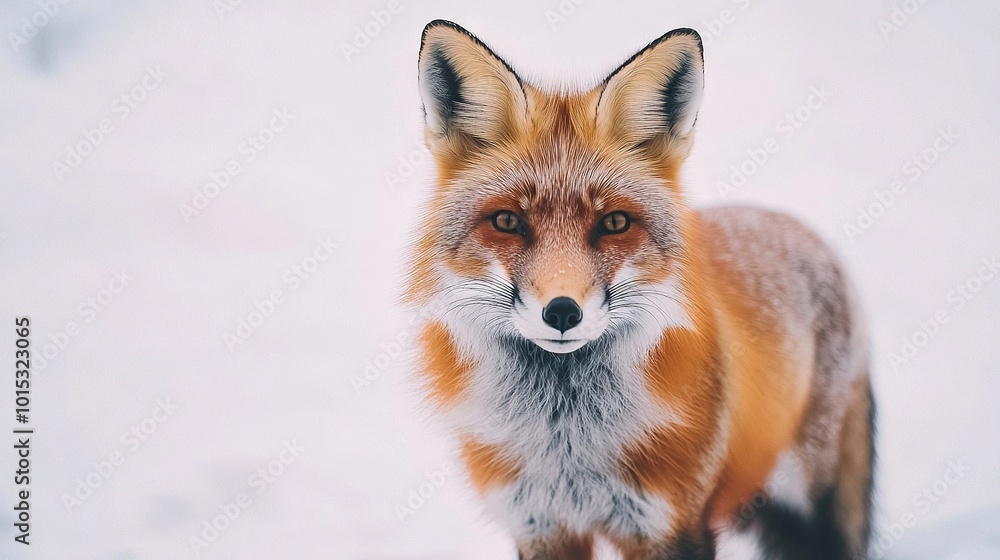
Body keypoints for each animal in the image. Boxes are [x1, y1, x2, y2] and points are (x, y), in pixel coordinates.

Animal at [403, 20, 875, 560]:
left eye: (614, 223)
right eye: (507, 222)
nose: (561, 312)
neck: (565, 440)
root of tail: (806, 233)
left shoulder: (672, 525)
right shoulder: (540, 525)